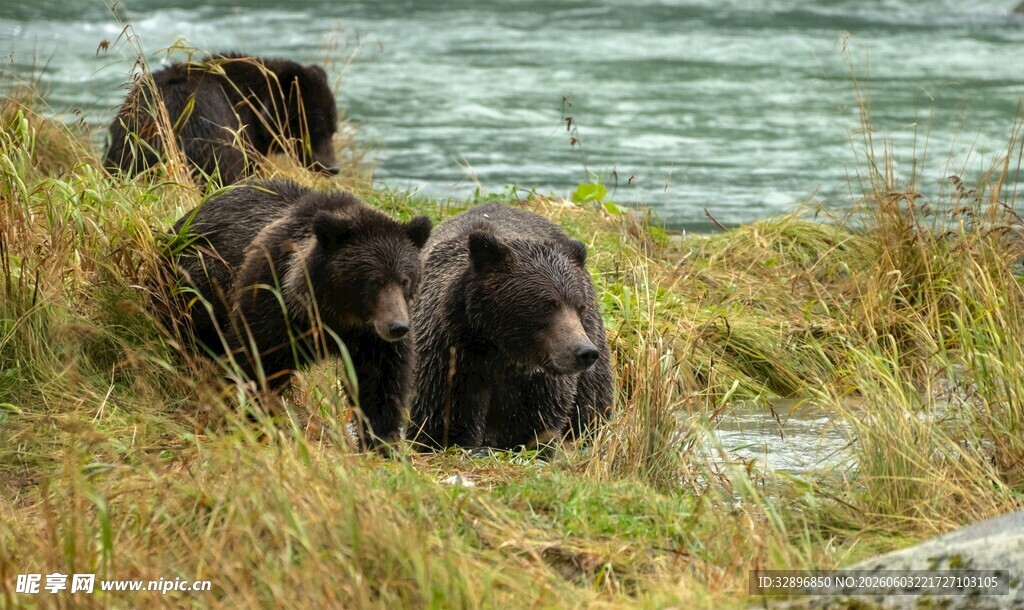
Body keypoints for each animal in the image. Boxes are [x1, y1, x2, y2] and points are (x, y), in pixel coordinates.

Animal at [167, 179, 432, 446]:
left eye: (405, 280)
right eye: (373, 281)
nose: (397, 326)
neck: (332, 315)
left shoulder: (371, 339)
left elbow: (379, 386)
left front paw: (382, 441)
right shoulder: (272, 303)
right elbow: (255, 363)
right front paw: (254, 421)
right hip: (196, 289)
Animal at [408, 203, 614, 451]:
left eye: (579, 306)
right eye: (548, 304)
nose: (584, 352)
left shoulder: (538, 382)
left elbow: (533, 423)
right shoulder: (449, 357)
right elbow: (441, 415)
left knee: (591, 401)